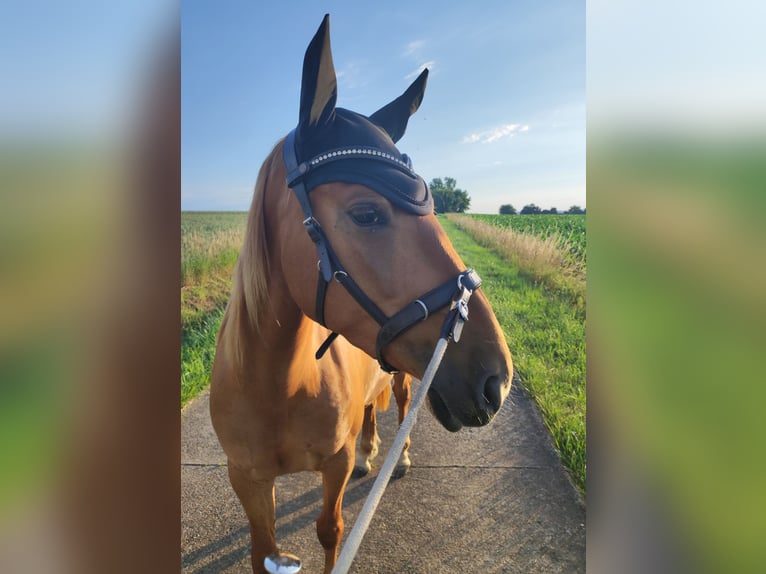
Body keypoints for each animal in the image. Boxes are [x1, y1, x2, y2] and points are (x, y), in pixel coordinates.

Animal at [210, 15, 513, 574]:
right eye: (367, 213)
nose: (496, 382)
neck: (278, 385)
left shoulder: (336, 463)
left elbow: (330, 529)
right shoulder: (247, 478)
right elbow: (263, 547)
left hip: (407, 380)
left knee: (398, 403)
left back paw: (398, 455)